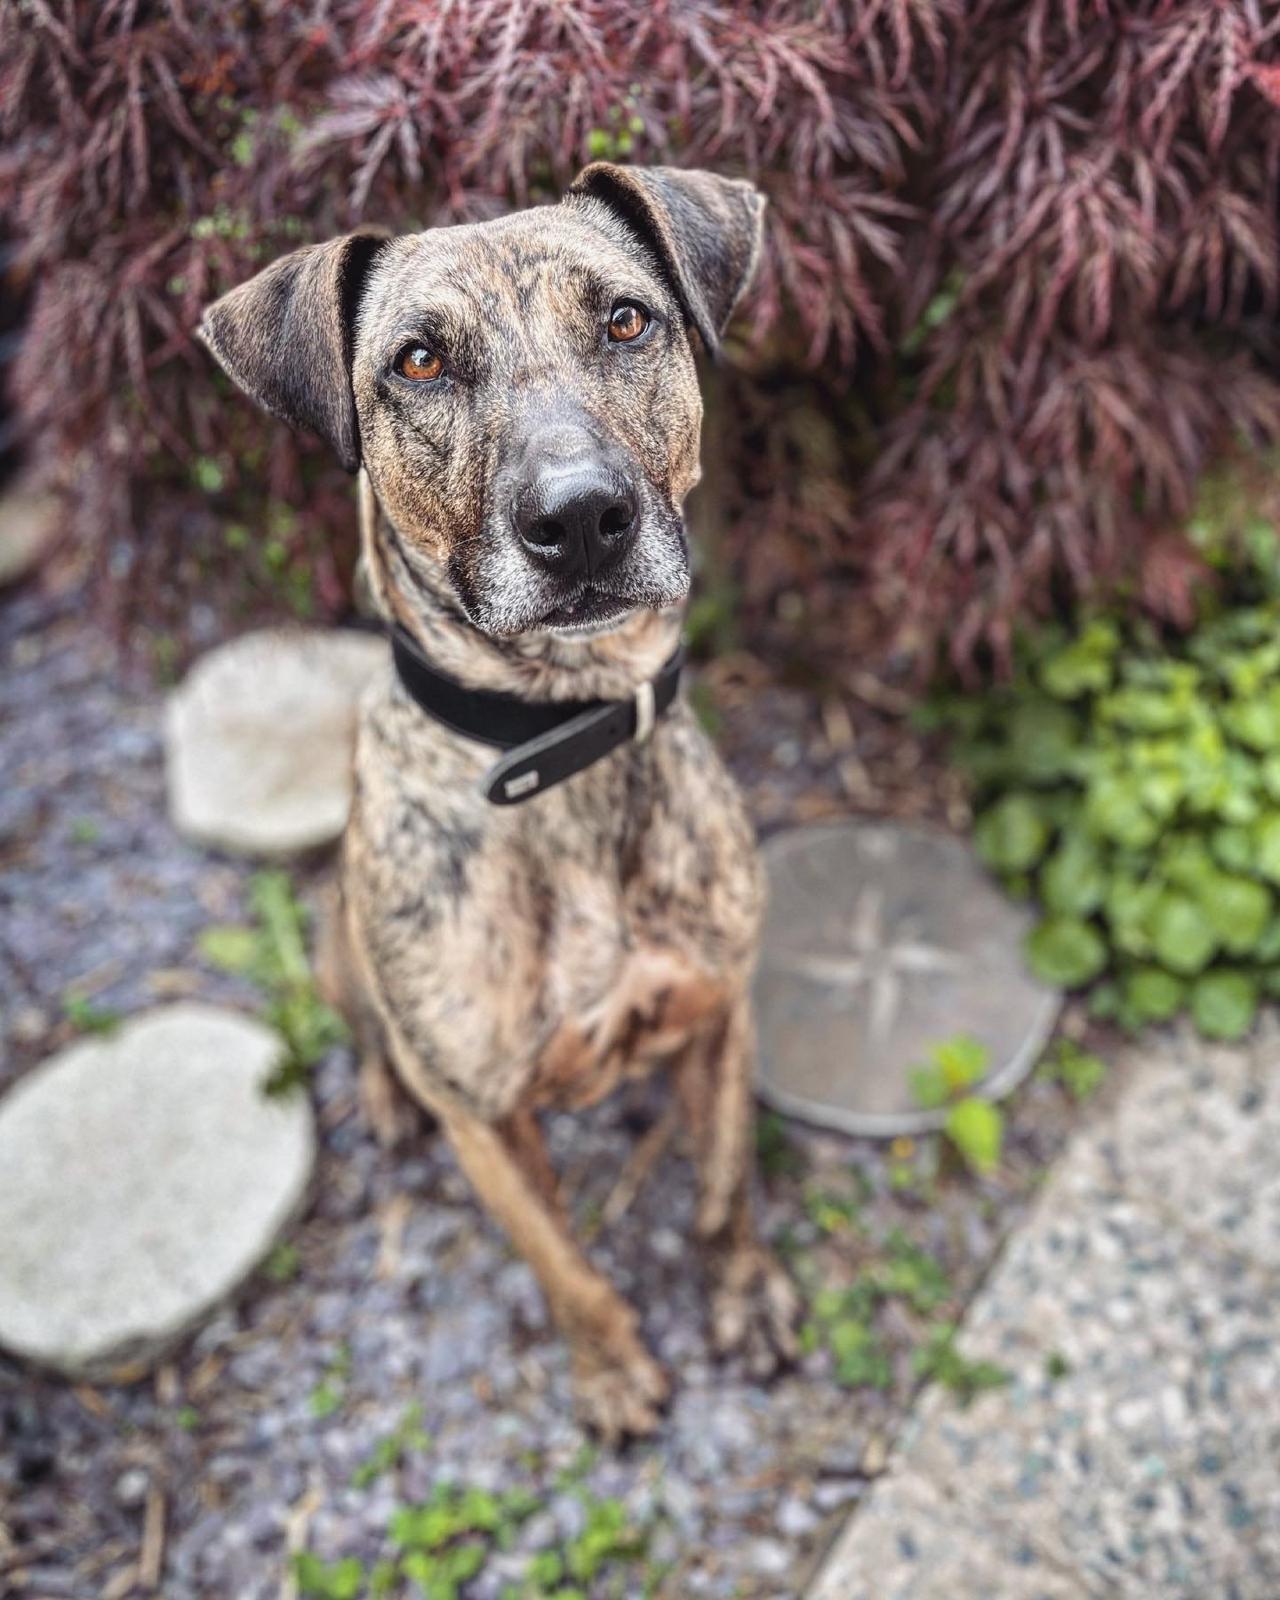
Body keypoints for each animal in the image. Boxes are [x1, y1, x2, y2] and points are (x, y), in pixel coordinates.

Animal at [197, 162, 800, 1440]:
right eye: (419, 361)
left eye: (625, 320)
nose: (579, 519)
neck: (561, 735)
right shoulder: (483, 1114)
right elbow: (561, 1263)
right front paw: (612, 1369)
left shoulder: (718, 1007)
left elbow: (724, 1185)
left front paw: (744, 1299)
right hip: (340, 941)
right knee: (367, 1028)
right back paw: (385, 1098)